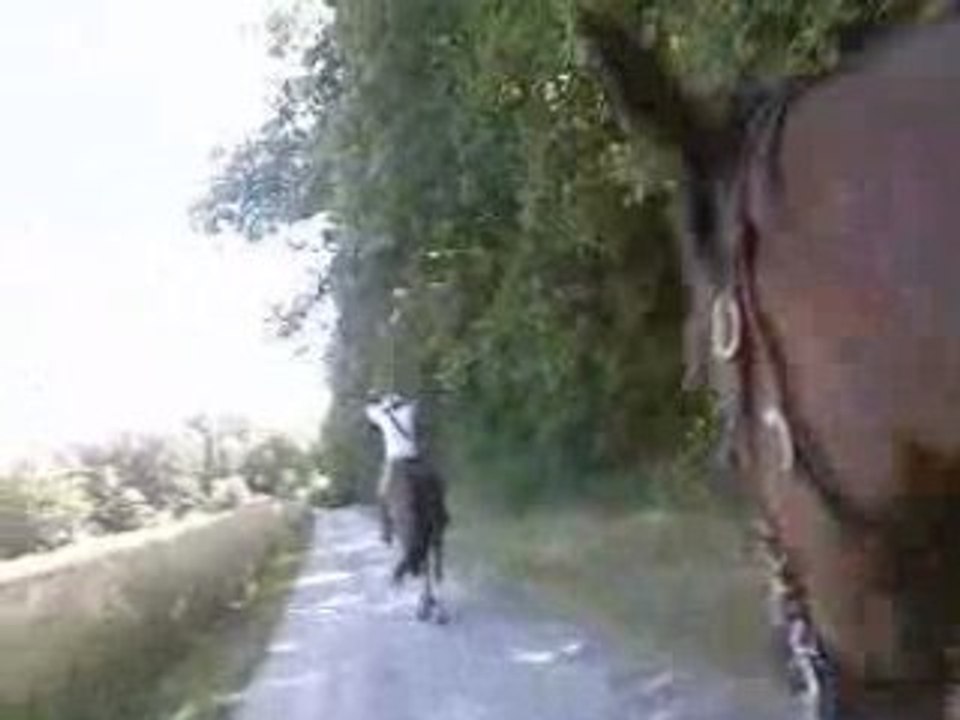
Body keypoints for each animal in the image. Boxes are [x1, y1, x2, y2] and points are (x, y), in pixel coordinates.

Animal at [366, 395, 450, 623]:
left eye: (380, 405)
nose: (368, 403)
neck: (402, 450)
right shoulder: (428, 533)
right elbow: (428, 570)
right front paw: (430, 602)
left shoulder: (391, 529)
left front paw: (425, 602)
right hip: (437, 531)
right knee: (436, 570)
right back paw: (439, 610)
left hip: (411, 531)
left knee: (417, 565)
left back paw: (421, 608)